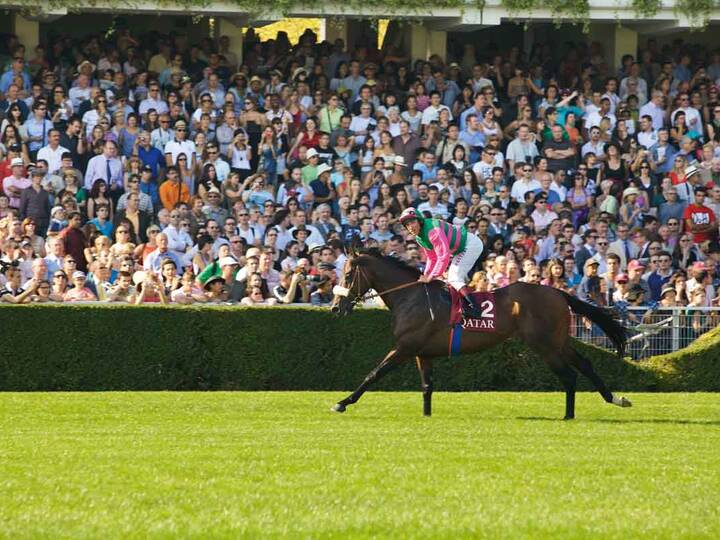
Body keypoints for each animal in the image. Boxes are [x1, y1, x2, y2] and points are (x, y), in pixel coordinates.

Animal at [328, 249, 632, 422]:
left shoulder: (404, 347)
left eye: (347, 275)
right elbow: (427, 386)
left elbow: (373, 374)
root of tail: (558, 292)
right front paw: (427, 416)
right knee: (586, 364)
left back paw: (568, 415)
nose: (335, 307)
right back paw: (616, 399)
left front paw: (342, 403)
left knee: (569, 375)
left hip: (544, 344)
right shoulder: (422, 353)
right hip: (559, 341)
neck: (410, 296)